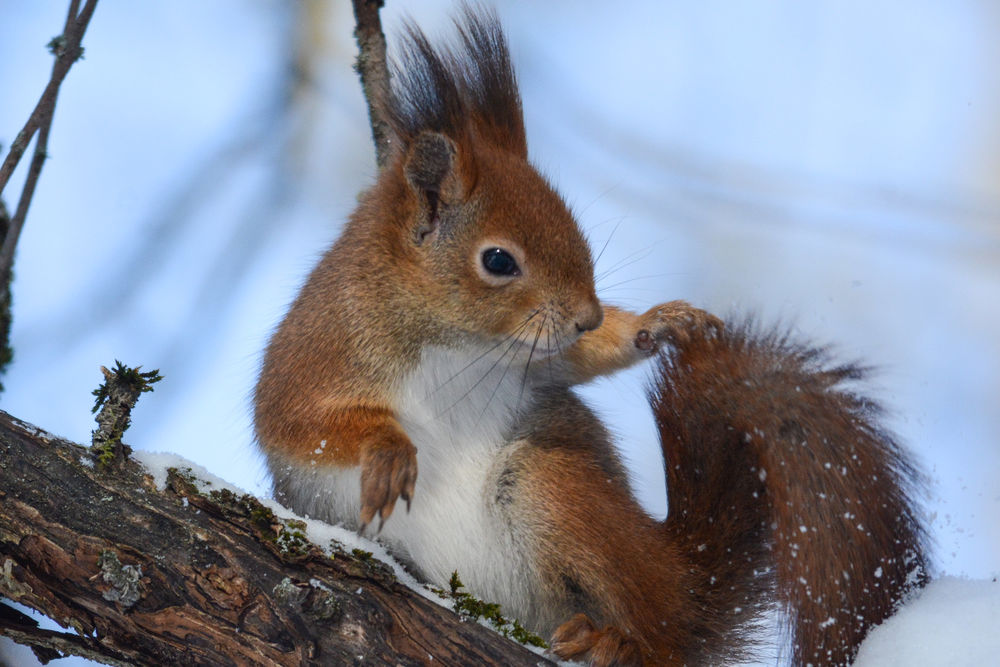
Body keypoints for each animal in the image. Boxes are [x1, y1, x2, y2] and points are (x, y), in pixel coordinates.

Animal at [254, 8, 928, 666]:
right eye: (498, 261)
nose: (588, 316)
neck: (454, 342)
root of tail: (680, 577)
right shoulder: (319, 354)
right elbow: (298, 422)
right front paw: (390, 450)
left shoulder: (533, 359)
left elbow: (574, 360)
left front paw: (655, 323)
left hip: (552, 490)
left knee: (665, 637)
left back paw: (616, 640)